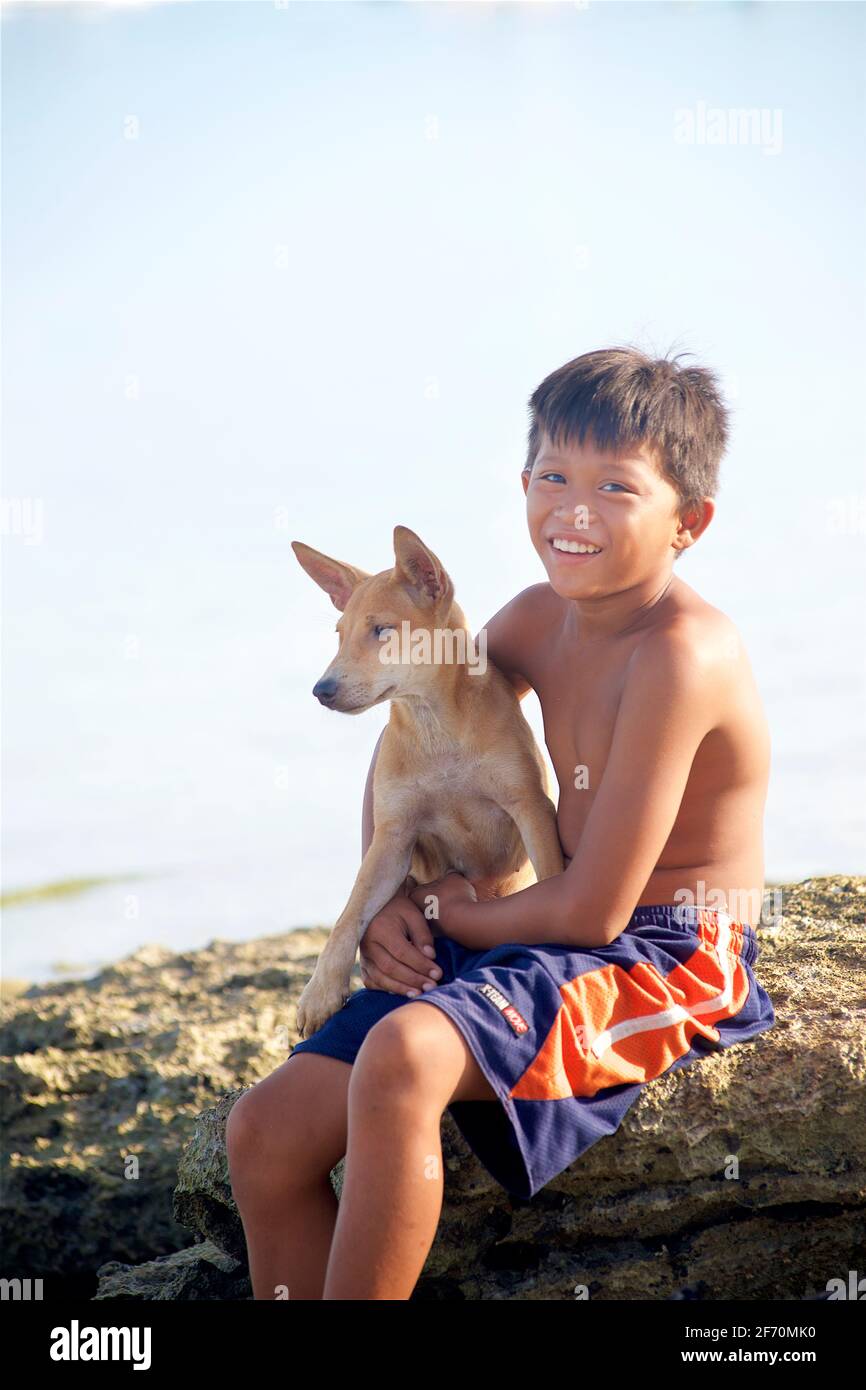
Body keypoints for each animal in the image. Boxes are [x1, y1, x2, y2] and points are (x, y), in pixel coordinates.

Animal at [287, 525, 567, 1039]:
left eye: (382, 630)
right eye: (339, 634)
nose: (321, 690)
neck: (435, 728)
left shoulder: (531, 809)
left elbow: (555, 877)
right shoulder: (394, 836)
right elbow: (351, 911)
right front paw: (320, 992)